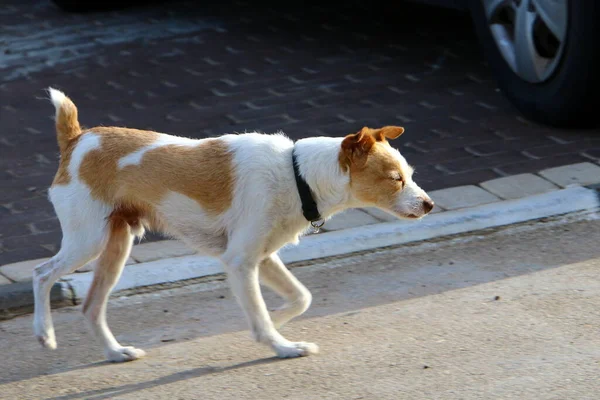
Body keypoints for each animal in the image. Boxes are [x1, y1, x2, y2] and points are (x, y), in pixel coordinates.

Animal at [32, 87, 434, 362]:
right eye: (395, 179)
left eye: (410, 175)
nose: (429, 205)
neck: (296, 174)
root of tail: (78, 139)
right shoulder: (240, 263)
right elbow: (263, 310)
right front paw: (281, 345)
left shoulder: (262, 258)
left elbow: (300, 297)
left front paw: (275, 322)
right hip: (88, 241)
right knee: (41, 274)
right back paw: (44, 333)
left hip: (116, 245)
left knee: (91, 307)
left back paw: (116, 352)